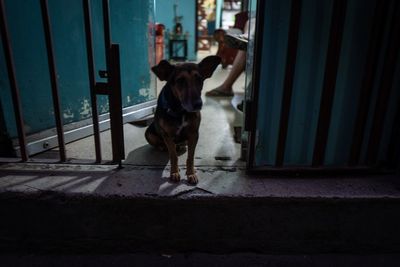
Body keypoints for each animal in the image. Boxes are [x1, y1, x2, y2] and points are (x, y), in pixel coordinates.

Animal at [145, 55, 220, 185]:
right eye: (180, 81)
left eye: (199, 80)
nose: (198, 104)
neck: (180, 110)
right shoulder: (167, 135)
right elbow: (173, 156)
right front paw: (174, 172)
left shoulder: (194, 134)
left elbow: (191, 157)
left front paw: (191, 173)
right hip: (148, 133)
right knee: (161, 144)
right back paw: (162, 147)